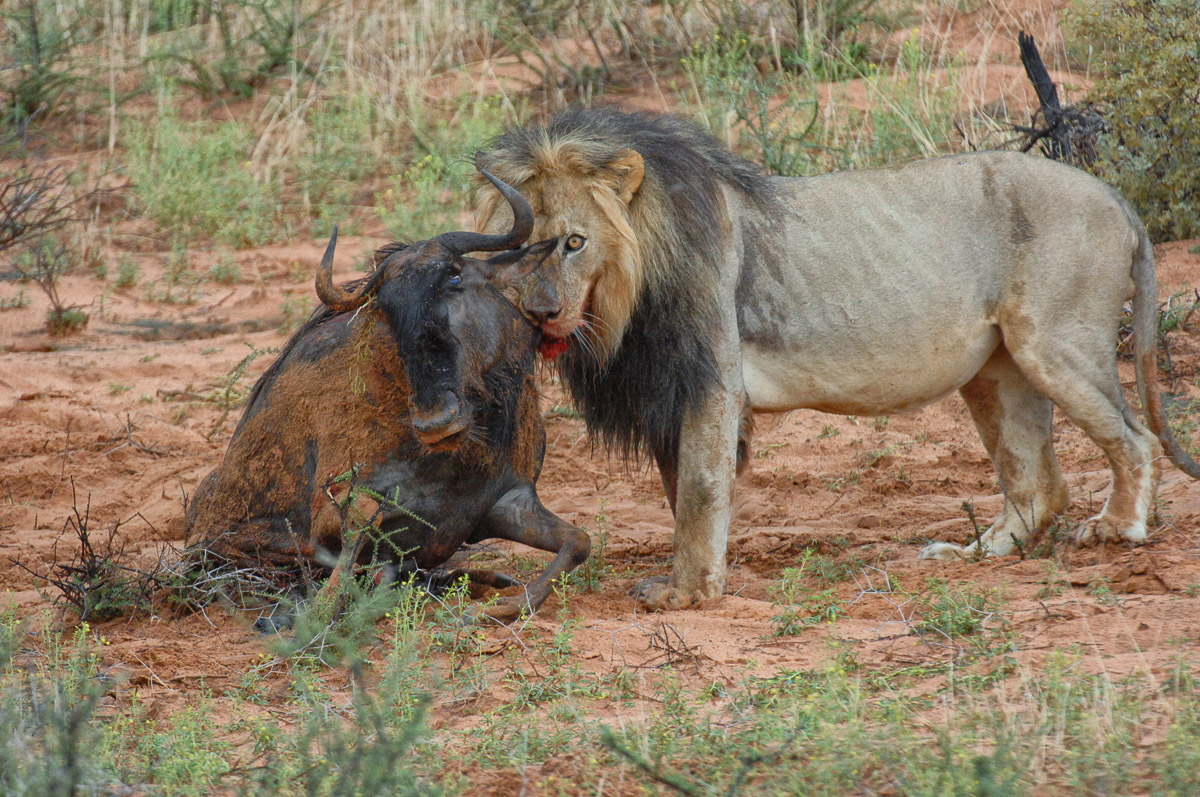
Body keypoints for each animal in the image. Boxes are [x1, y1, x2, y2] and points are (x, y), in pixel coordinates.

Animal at [474, 108, 1200, 611]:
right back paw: (975, 552)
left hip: (1055, 344)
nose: (540, 313)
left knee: (1135, 439)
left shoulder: (710, 379)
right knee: (1039, 482)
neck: (621, 301)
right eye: (519, 248)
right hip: (997, 372)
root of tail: (1116, 198)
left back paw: (1117, 530)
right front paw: (696, 580)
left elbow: (700, 489)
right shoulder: (664, 393)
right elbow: (679, 487)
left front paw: (687, 595)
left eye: (573, 242)